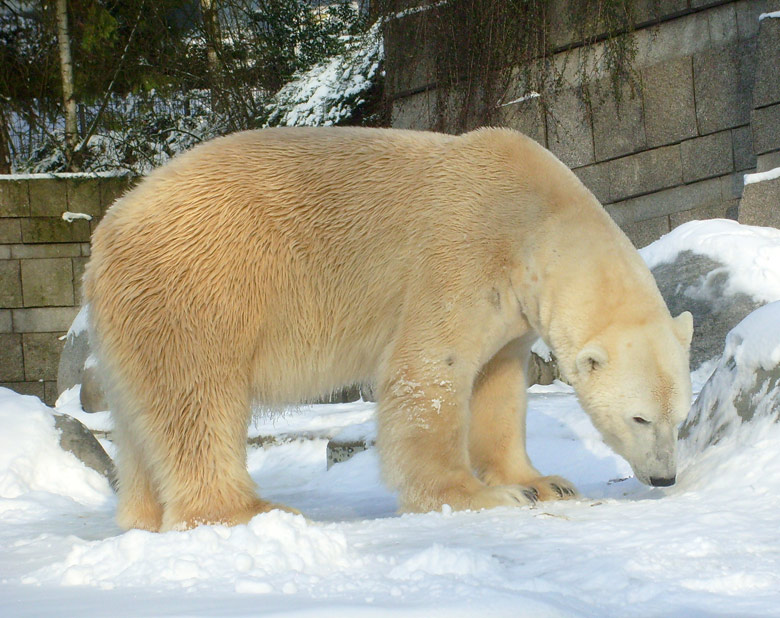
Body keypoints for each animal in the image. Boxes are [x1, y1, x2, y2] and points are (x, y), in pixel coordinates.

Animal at [85, 126, 692, 528]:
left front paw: (543, 483)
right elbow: (429, 370)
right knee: (198, 399)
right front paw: (479, 497)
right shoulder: (461, 256)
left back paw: (142, 516)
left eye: (681, 417)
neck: (536, 219)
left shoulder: (514, 309)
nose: (665, 478)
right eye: (639, 417)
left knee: (143, 419)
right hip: (195, 288)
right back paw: (250, 510)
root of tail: (104, 236)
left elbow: (498, 385)